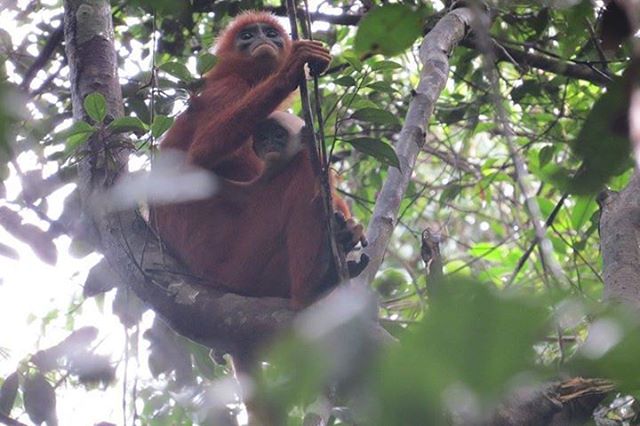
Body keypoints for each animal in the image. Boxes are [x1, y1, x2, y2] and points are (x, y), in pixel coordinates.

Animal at [152, 11, 368, 308]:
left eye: (271, 33)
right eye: (247, 35)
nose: (263, 39)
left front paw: (347, 226)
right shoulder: (228, 88)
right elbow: (202, 153)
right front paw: (289, 71)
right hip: (233, 259)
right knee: (304, 164)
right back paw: (313, 286)